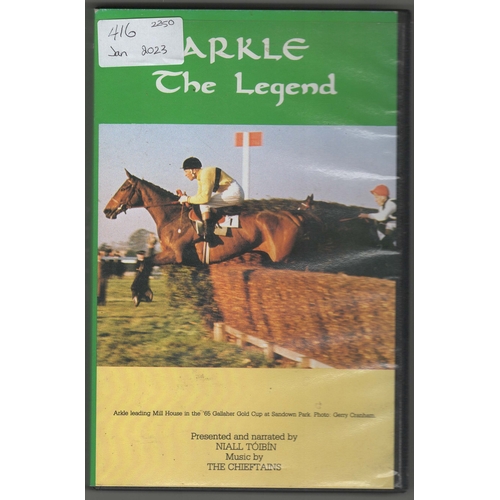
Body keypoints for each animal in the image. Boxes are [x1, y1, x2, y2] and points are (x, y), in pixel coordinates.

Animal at [103, 170, 315, 304]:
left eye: (124, 188)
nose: (107, 210)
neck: (173, 217)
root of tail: (293, 215)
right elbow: (144, 263)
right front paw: (143, 292)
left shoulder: (175, 255)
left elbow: (145, 262)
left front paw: (138, 293)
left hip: (284, 259)